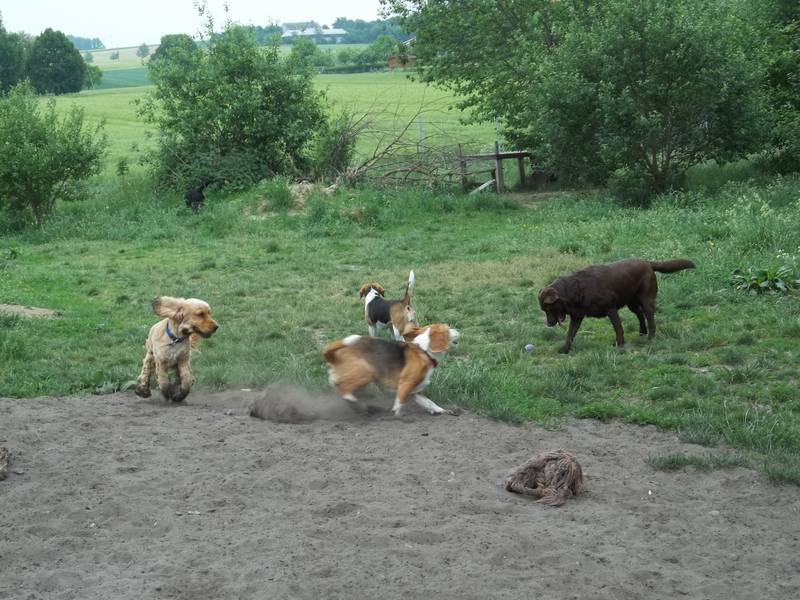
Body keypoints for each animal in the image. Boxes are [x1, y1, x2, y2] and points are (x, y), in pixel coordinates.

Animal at [323, 323, 460, 416]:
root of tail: (333, 357)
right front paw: (397, 414)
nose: (458, 330)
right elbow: (399, 402)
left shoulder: (415, 391)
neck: (424, 351)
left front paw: (442, 410)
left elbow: (429, 402)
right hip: (365, 373)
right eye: (448, 329)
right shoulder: (406, 383)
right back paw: (356, 401)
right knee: (343, 389)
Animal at [538, 258, 695, 353]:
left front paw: (619, 344)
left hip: (646, 299)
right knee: (639, 314)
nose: (549, 324)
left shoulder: (611, 309)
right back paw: (642, 332)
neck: (575, 290)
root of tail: (648, 263)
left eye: (548, 308)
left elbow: (618, 328)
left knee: (650, 318)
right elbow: (570, 334)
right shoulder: (577, 316)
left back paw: (650, 337)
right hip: (631, 302)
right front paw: (565, 349)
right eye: (544, 310)